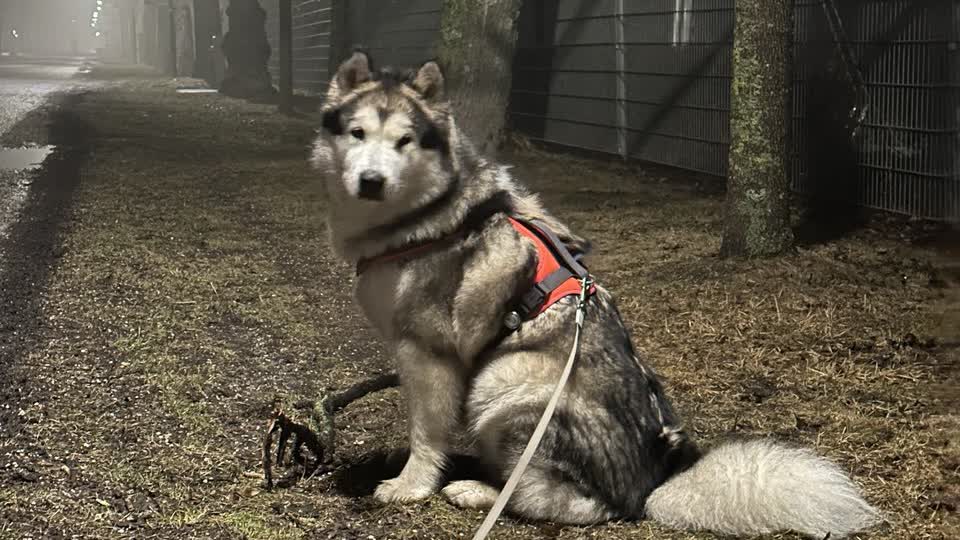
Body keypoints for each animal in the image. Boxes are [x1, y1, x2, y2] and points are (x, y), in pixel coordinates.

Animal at [309, 50, 881, 538]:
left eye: (405, 141)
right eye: (358, 133)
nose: (371, 180)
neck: (426, 218)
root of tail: (650, 487)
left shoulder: (427, 354)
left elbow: (425, 434)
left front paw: (408, 486)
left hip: (504, 381)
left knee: (569, 503)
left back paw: (479, 491)